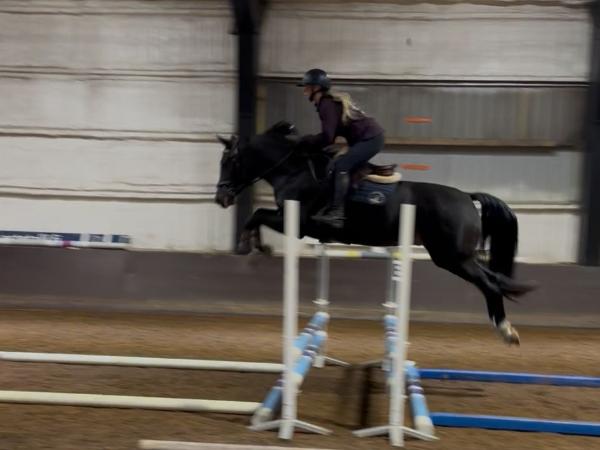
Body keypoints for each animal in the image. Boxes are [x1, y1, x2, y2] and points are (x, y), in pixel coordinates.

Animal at [215, 121, 536, 345]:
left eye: (229, 162)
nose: (221, 198)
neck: (295, 170)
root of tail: (468, 197)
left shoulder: (298, 223)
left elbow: (256, 215)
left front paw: (250, 247)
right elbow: (258, 215)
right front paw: (259, 247)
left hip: (452, 258)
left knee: (490, 284)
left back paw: (506, 331)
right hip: (457, 257)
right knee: (496, 279)